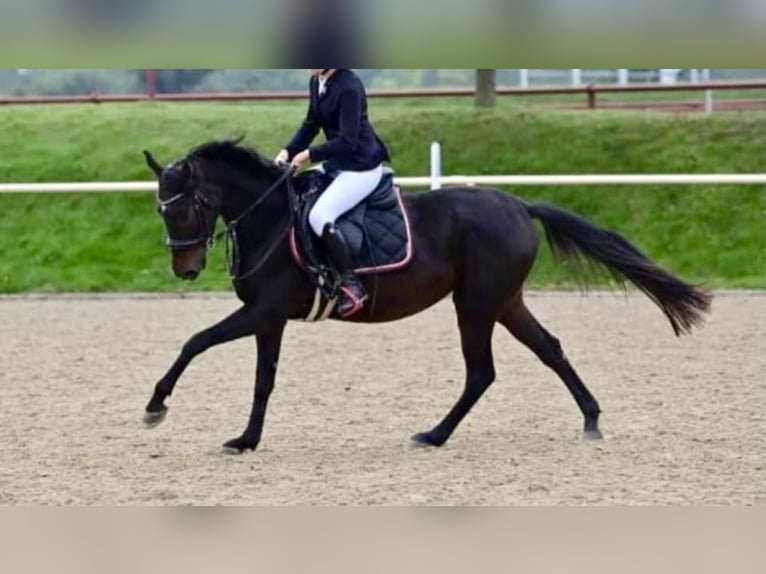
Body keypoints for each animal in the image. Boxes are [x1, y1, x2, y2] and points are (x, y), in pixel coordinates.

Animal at [141, 140, 712, 454]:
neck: (271, 218)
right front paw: (244, 440)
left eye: (185, 206)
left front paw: (157, 407)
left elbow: (198, 343)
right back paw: (591, 420)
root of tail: (518, 205)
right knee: (549, 349)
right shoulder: (269, 318)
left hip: (476, 304)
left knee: (482, 372)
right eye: (160, 210)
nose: (186, 270)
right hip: (504, 301)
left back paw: (434, 436)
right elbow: (257, 377)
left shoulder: (264, 311)